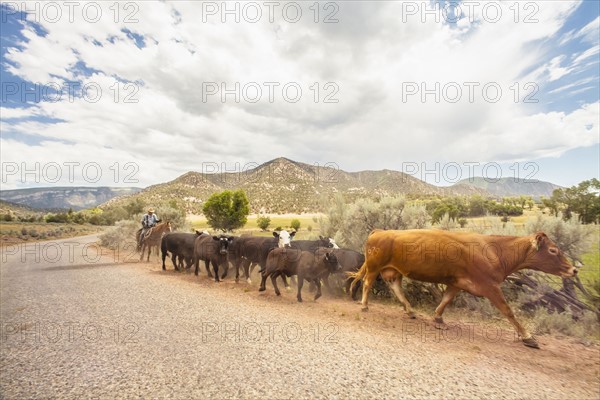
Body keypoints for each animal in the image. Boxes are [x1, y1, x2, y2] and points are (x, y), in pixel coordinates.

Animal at [352, 230, 576, 348]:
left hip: (393, 271)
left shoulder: (456, 284)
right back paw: (364, 305)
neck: (495, 251)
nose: (573, 270)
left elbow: (445, 300)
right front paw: (528, 337)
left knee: (396, 288)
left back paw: (410, 310)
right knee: (367, 283)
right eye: (553, 250)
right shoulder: (491, 287)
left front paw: (438, 318)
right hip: (374, 267)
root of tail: (380, 231)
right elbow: (508, 311)